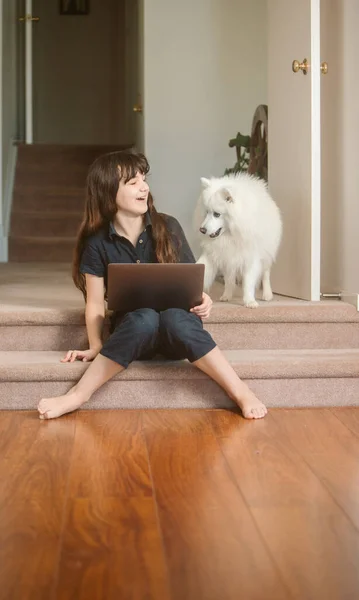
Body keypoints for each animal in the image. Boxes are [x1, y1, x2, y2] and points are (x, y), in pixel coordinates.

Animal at [195, 171, 282, 308]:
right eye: (206, 212)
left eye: (217, 214)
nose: (202, 230)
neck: (231, 234)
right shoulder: (216, 253)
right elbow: (203, 266)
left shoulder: (251, 257)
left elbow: (248, 281)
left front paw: (250, 302)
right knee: (229, 278)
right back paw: (226, 295)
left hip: (267, 254)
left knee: (265, 274)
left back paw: (267, 295)